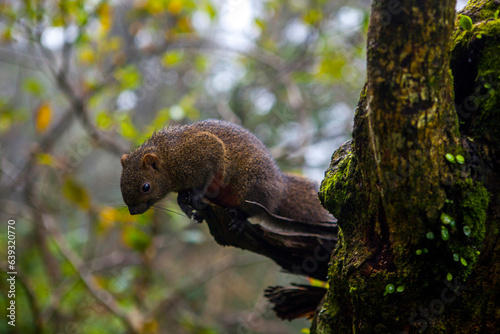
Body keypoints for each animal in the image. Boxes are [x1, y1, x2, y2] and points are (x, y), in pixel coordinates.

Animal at [120, 120, 336, 235]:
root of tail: (281, 189)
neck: (168, 157)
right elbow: (182, 196)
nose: (132, 212)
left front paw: (196, 196)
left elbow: (209, 175)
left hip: (253, 188)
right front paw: (185, 206)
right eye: (121, 183)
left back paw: (240, 217)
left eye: (146, 187)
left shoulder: (206, 149)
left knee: (253, 210)